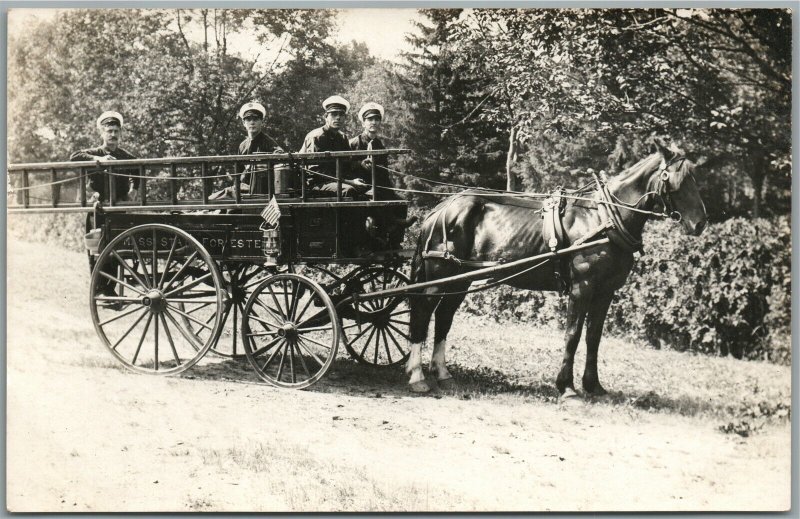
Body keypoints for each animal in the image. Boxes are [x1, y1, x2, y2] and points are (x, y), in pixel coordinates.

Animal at [406, 143, 708, 398]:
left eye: (695, 179)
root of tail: (440, 208)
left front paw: (594, 386)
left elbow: (593, 337)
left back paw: (443, 374)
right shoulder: (582, 287)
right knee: (422, 314)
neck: (604, 218)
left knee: (444, 317)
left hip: (459, 281)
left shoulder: (605, 291)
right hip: (438, 278)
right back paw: (417, 377)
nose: (701, 223)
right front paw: (567, 387)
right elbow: (572, 335)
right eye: (674, 180)